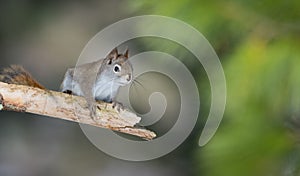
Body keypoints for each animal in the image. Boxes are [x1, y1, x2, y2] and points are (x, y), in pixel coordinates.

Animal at [0, 47, 134, 119]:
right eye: (116, 68)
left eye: (131, 66)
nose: (129, 78)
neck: (109, 82)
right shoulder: (88, 79)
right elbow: (87, 92)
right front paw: (92, 104)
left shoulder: (111, 91)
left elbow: (111, 99)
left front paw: (116, 103)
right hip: (68, 79)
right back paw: (68, 91)